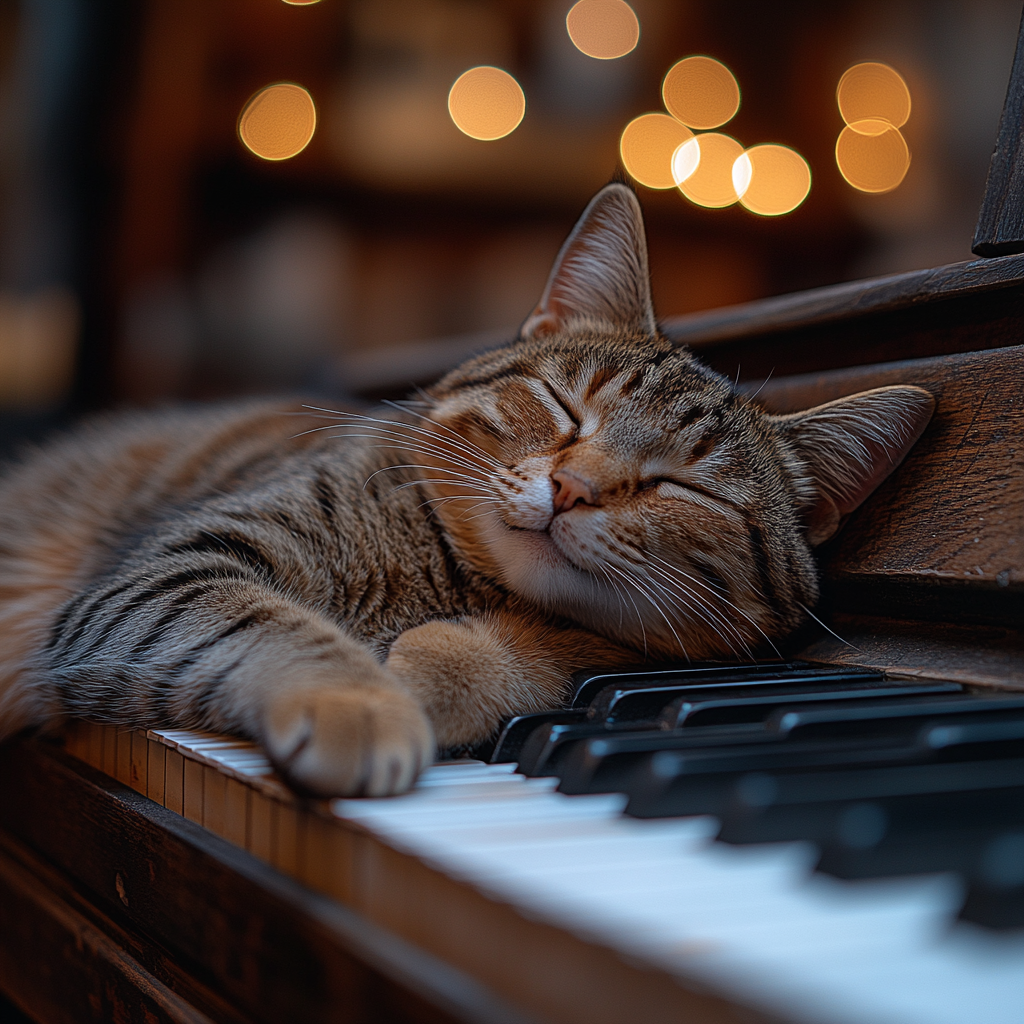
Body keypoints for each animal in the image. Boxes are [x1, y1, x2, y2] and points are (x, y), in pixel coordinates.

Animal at [0, 188, 937, 802]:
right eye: (565, 408)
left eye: (680, 485)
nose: (572, 489)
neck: (445, 579)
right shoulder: (169, 571)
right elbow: (268, 621)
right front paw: (360, 698)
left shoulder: (623, 654)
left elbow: (531, 654)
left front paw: (429, 672)